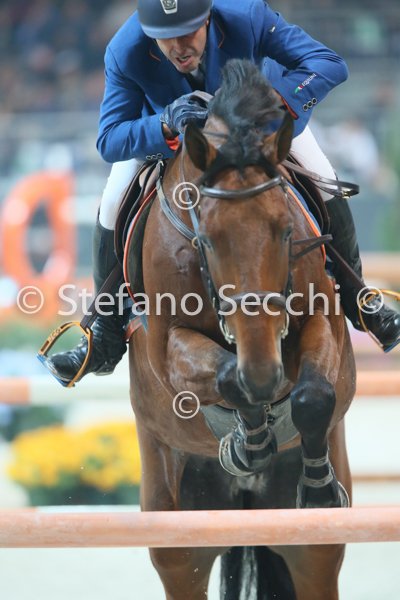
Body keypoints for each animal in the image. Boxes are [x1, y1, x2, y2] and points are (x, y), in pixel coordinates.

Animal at [126, 59, 355, 600]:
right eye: (206, 238)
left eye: (286, 230)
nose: (265, 373)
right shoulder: (167, 348)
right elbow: (228, 376)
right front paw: (245, 442)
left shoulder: (323, 323)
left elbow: (313, 395)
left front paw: (317, 489)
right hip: (178, 533)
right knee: (181, 563)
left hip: (310, 551)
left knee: (315, 557)